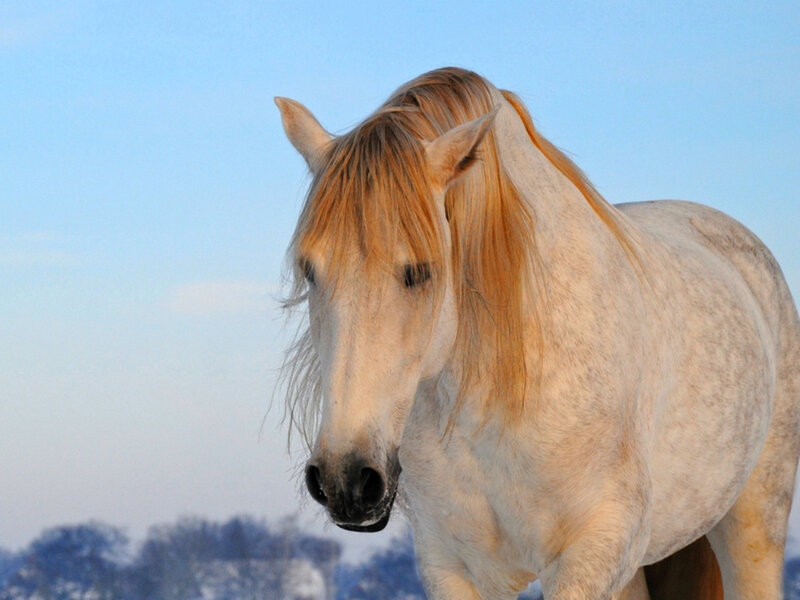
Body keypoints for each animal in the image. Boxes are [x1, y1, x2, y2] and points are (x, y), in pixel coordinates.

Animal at [275, 67, 800, 599]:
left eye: (420, 271)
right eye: (310, 270)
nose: (345, 480)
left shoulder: (592, 552)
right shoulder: (452, 566)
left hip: (753, 525)